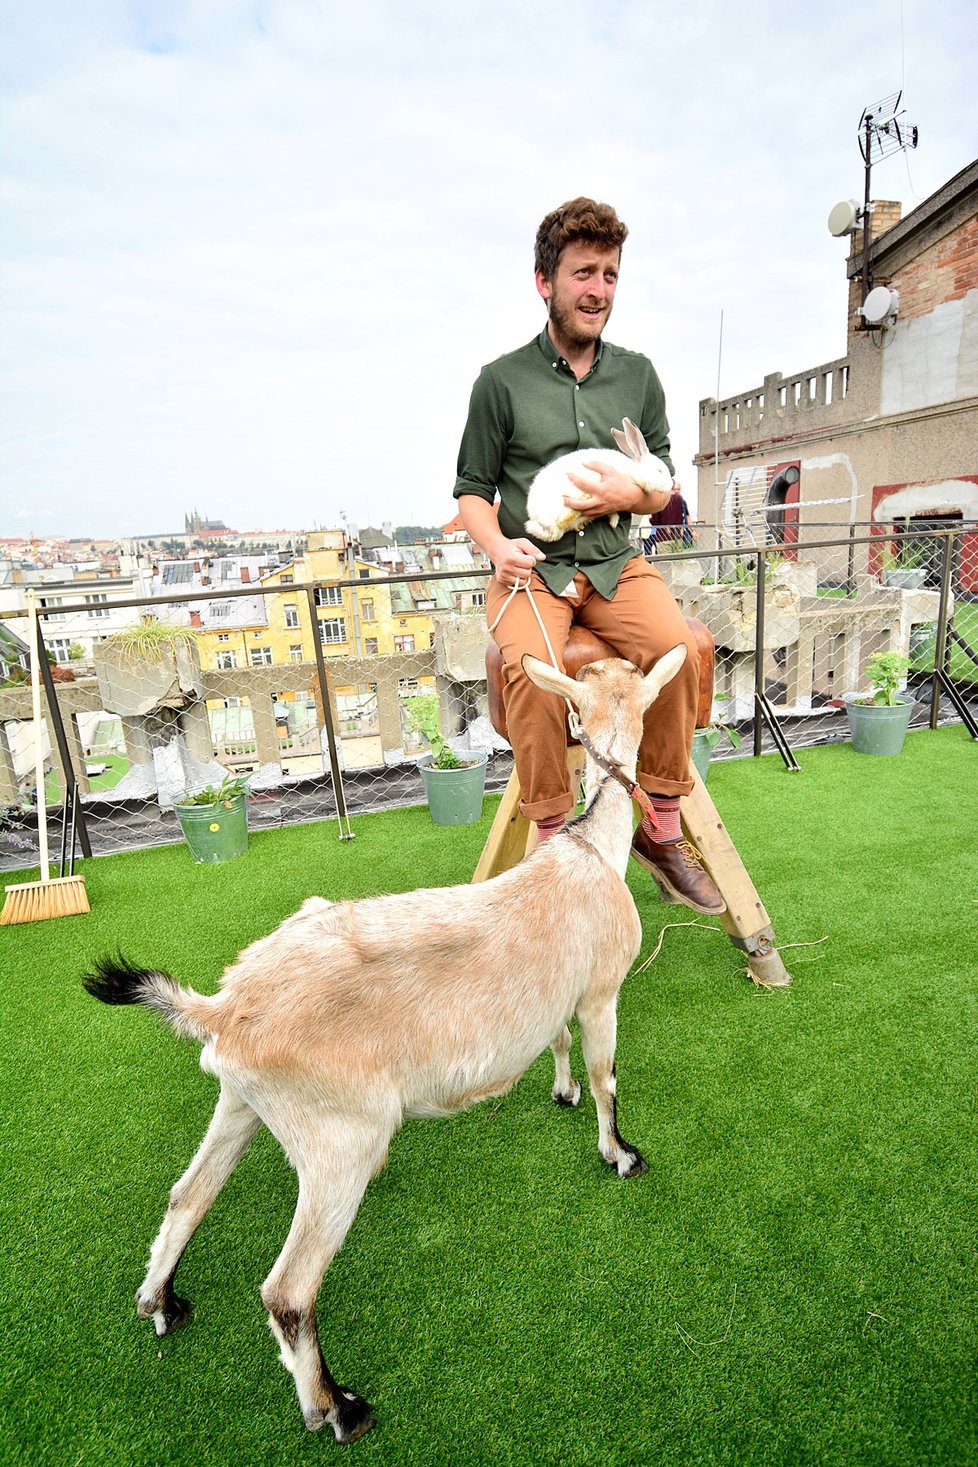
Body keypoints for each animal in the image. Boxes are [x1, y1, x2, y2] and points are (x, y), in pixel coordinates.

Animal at [82, 642, 689, 1443]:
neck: (589, 850)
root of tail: (222, 1007)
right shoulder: (600, 990)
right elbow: (607, 1076)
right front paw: (621, 1154)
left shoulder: (560, 994)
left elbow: (559, 1044)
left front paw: (558, 1089)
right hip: (341, 1135)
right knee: (288, 1288)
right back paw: (335, 1407)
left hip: (241, 1101)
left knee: (188, 1195)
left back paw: (161, 1305)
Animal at [527, 419, 674, 545]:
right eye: (660, 471)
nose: (671, 485)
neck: (632, 470)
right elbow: (612, 513)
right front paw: (614, 522)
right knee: (562, 519)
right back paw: (583, 500)